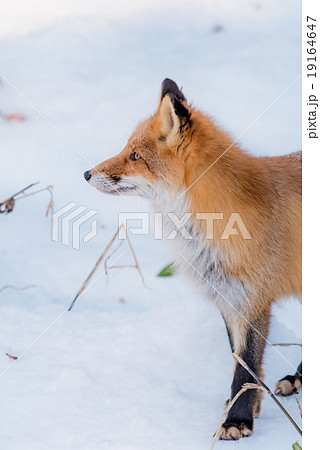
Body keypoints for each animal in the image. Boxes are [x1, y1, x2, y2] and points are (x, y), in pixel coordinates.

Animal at [84, 79, 302, 442]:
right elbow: (241, 362)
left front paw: (237, 420)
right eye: (127, 149)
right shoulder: (227, 296)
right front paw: (247, 405)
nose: (86, 173)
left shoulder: (253, 298)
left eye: (135, 156)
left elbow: (245, 366)